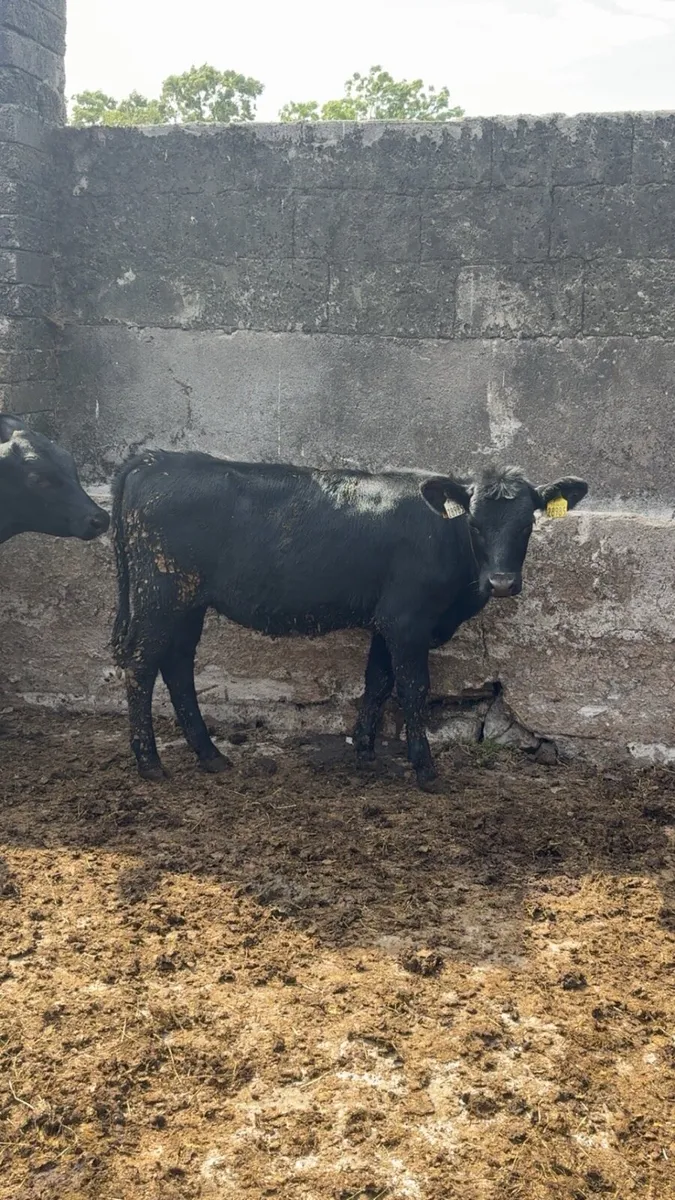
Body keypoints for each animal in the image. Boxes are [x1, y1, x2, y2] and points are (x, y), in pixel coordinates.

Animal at [111, 451, 587, 788]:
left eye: (527, 523)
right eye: (473, 523)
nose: (502, 582)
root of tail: (156, 459)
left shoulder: (386, 621)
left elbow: (377, 682)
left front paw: (363, 751)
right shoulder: (407, 621)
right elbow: (413, 688)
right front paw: (425, 769)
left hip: (186, 602)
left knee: (177, 663)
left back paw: (210, 755)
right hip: (160, 594)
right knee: (141, 663)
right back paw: (149, 762)